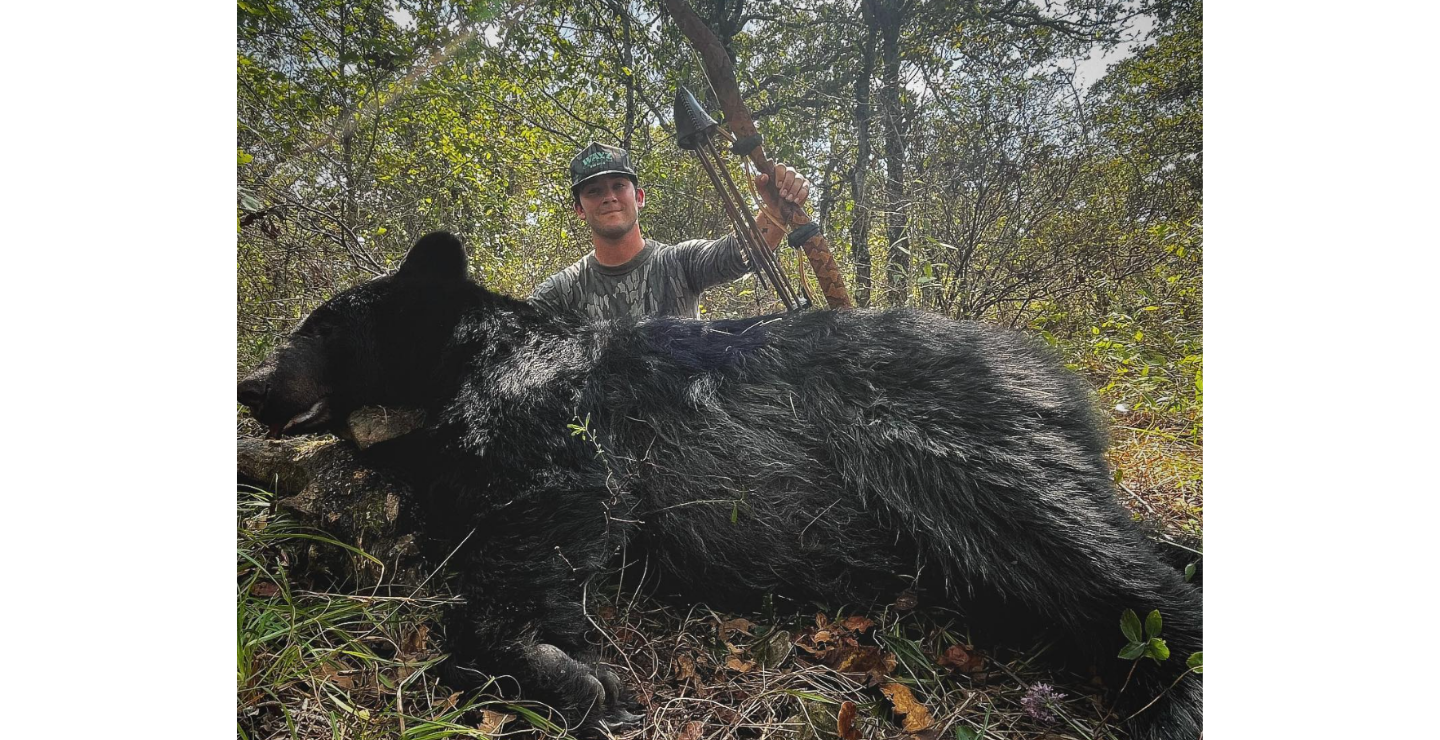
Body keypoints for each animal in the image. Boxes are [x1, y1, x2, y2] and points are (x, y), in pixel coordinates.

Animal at [239, 231, 1203, 737]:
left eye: (322, 324)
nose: (249, 384)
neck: (467, 365)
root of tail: (1050, 369)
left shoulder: (567, 451)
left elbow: (536, 550)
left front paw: (563, 671)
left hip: (959, 455)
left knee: (1120, 572)